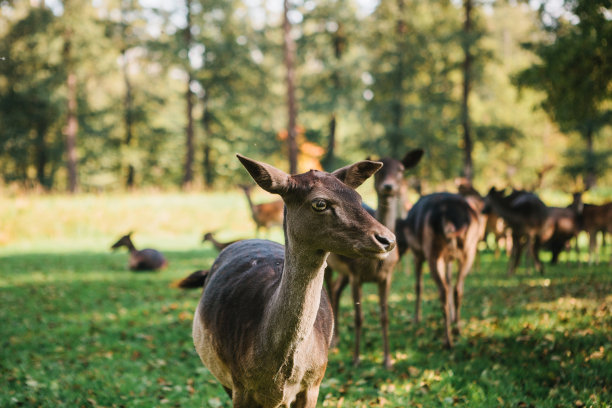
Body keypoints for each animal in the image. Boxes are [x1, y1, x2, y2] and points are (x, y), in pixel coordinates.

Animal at [326, 148, 426, 368]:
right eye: (380, 172)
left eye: (401, 169)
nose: (388, 186)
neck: (376, 263)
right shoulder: (356, 275)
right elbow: (358, 317)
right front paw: (356, 359)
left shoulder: (386, 276)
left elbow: (384, 316)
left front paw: (387, 360)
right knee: (330, 291)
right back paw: (333, 341)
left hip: (345, 272)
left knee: (336, 290)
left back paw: (337, 337)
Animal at [396, 193, 482, 350]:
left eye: (396, 234)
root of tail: (450, 219)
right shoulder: (449, 259)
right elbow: (449, 280)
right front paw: (453, 318)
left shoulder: (417, 253)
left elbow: (418, 286)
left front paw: (416, 319)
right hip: (470, 249)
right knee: (457, 288)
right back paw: (457, 329)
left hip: (432, 252)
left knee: (443, 290)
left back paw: (447, 341)